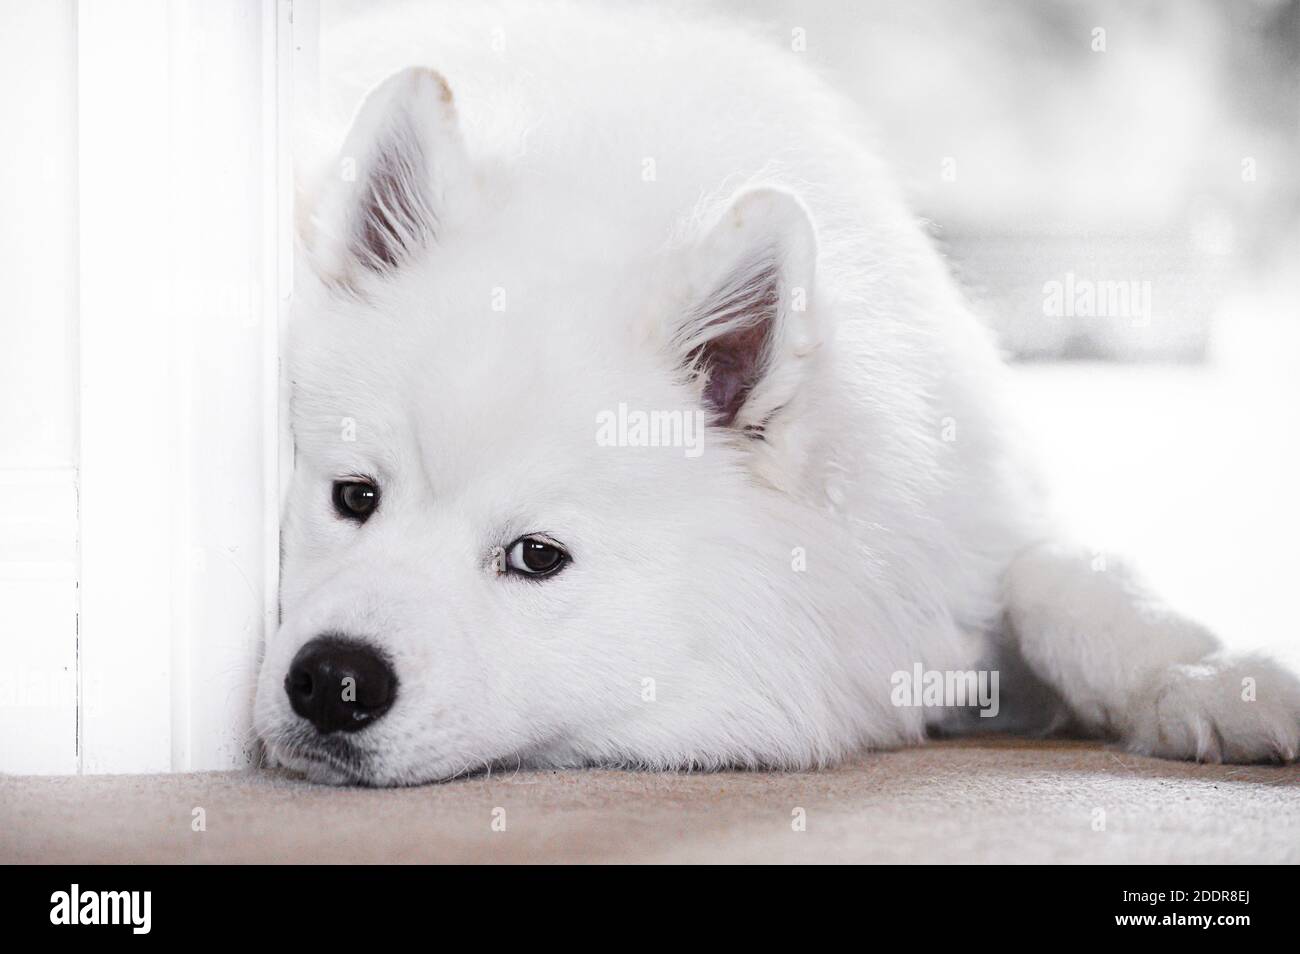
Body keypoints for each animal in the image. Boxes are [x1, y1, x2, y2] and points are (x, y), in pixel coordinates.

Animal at [248, 3, 1294, 790]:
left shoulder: (949, 538)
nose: (332, 680)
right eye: (353, 497)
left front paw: (1211, 680)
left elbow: (1057, 576)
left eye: (537, 556)